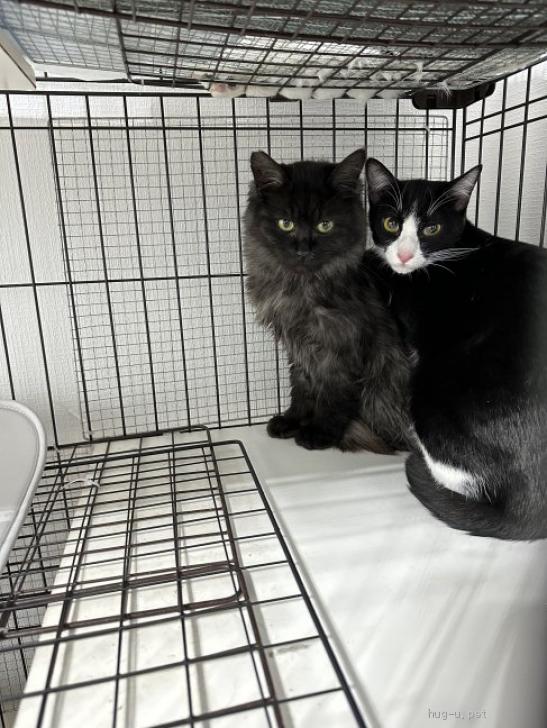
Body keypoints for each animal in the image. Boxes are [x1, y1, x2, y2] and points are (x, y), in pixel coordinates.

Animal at [244, 149, 412, 453]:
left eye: (325, 225)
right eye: (285, 223)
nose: (303, 250)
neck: (301, 287)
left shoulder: (341, 349)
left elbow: (335, 396)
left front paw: (320, 432)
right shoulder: (298, 347)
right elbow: (302, 387)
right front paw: (293, 420)